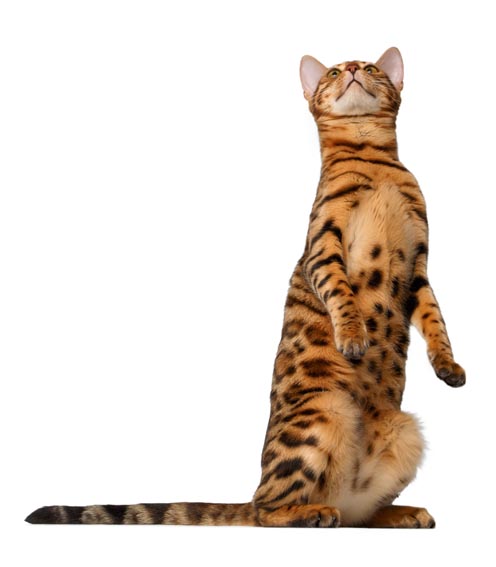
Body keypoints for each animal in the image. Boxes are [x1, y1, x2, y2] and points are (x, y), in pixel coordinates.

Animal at [26, 47, 465, 528]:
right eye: (332, 72)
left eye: (371, 69)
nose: (351, 69)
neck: (371, 160)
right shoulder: (323, 248)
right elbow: (342, 295)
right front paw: (352, 336)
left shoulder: (419, 265)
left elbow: (436, 319)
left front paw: (448, 365)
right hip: (321, 416)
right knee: (266, 509)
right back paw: (311, 512)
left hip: (405, 432)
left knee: (356, 513)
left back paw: (401, 512)